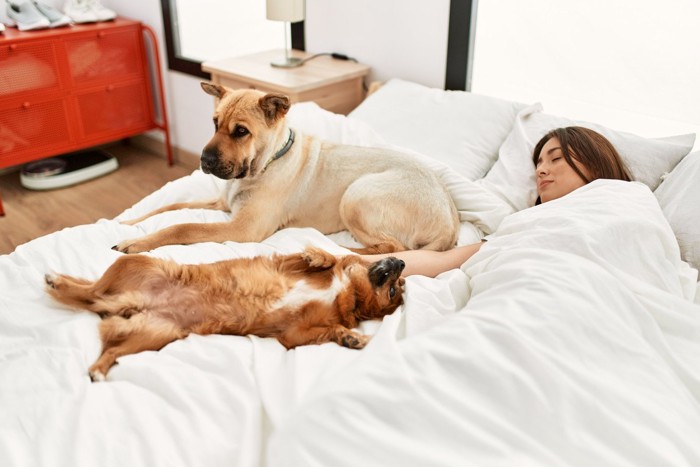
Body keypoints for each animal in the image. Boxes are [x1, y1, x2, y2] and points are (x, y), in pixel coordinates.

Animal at [45, 247, 404, 382]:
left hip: (156, 334)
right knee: (90, 290)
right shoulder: (286, 264)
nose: (401, 262)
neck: (347, 294)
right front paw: (318, 257)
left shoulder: (292, 336)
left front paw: (349, 336)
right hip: (137, 263)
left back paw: (99, 369)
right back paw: (58, 280)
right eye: (395, 285)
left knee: (107, 336)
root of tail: (131, 304)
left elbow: (327, 331)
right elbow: (330, 255)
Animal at [113, 82, 460, 254]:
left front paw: (137, 243)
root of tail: (450, 222)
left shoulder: (242, 229)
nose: (204, 162)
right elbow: (170, 207)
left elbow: (182, 227)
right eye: (214, 123)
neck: (266, 163)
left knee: (393, 248)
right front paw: (129, 223)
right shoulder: (222, 203)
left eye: (241, 131)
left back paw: (338, 249)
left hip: (356, 196)